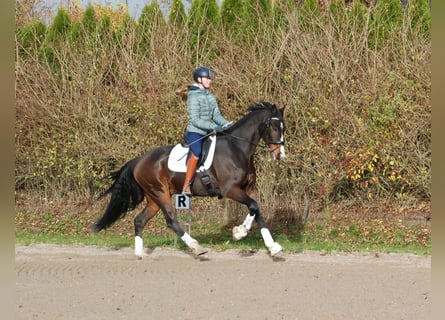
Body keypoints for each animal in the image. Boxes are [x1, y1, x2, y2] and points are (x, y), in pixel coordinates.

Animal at [92, 102, 286, 258]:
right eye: (274, 127)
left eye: (283, 128)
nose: (280, 155)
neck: (236, 148)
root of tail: (139, 160)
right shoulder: (230, 190)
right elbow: (253, 206)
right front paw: (240, 232)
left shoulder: (249, 188)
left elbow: (256, 209)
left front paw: (271, 246)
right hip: (160, 193)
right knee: (171, 221)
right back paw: (195, 247)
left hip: (153, 198)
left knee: (139, 221)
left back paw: (139, 254)